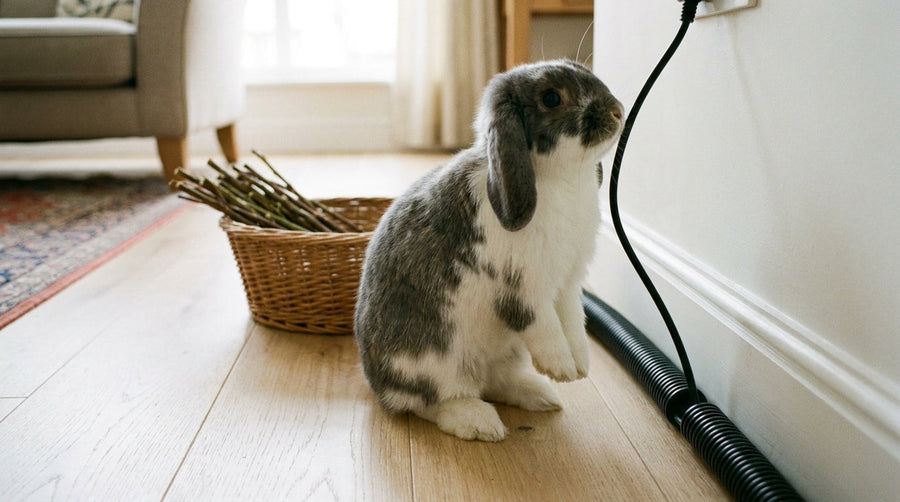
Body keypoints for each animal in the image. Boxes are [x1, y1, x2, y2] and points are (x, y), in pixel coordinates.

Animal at [354, 59, 624, 442]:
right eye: (551, 98)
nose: (618, 111)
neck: (560, 179)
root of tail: (376, 384)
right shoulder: (523, 290)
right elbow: (545, 327)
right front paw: (561, 369)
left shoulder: (568, 284)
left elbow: (574, 323)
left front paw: (580, 367)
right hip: (436, 362)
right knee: (430, 402)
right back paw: (481, 423)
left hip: (505, 354)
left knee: (495, 382)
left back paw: (541, 395)